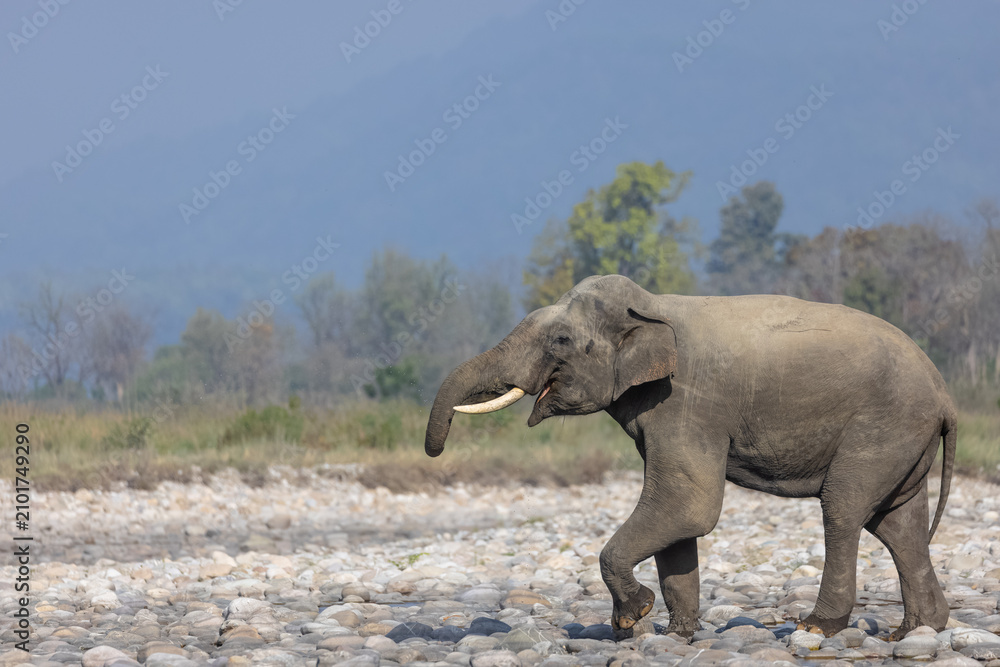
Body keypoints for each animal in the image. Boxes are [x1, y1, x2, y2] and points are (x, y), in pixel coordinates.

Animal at [424, 274, 956, 639]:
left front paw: (633, 616)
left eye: (560, 341)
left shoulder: (686, 402)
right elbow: (676, 515)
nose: (436, 450)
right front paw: (674, 633)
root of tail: (944, 393)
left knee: (844, 510)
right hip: (903, 439)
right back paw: (916, 630)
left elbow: (689, 505)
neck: (651, 306)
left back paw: (816, 627)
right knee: (899, 524)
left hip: (883, 426)